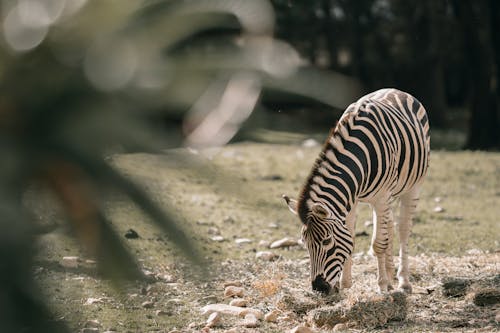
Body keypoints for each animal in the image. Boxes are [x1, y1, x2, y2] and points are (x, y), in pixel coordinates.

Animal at [282, 88, 430, 294]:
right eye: (304, 243)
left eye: (326, 241)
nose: (319, 288)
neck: (360, 156)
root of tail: (395, 90)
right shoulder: (350, 200)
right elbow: (352, 237)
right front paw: (345, 284)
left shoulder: (381, 198)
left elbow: (378, 243)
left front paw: (381, 285)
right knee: (389, 225)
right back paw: (390, 275)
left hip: (412, 187)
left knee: (403, 230)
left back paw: (403, 281)